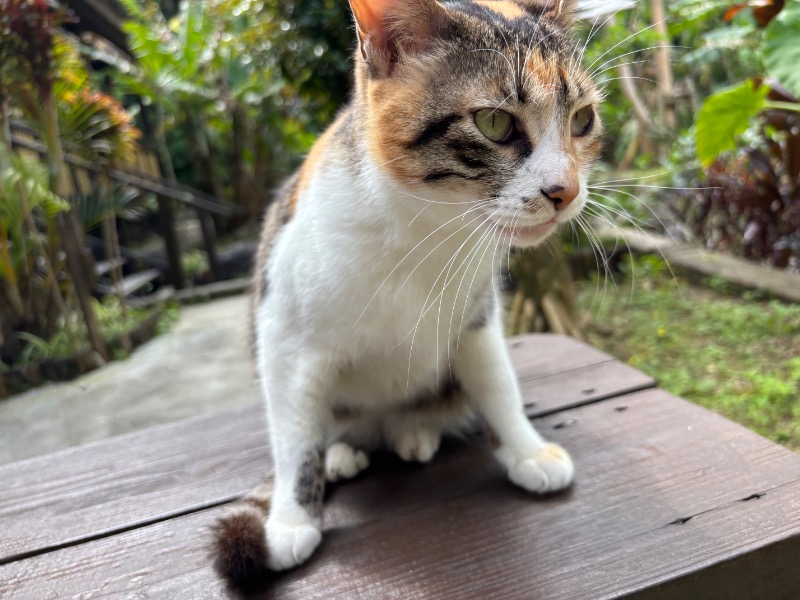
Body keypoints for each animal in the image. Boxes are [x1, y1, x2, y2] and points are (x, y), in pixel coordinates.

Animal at [214, 0, 603, 588]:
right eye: (494, 122)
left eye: (583, 119)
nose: (567, 191)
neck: (426, 230)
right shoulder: (284, 335)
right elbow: (295, 435)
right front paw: (291, 519)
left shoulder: (477, 315)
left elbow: (497, 383)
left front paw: (526, 451)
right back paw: (343, 453)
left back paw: (414, 430)